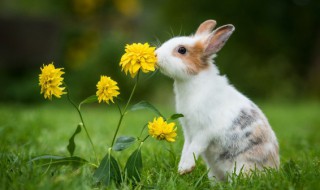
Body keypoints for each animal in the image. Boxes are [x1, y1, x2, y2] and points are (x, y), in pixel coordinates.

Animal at [156, 19, 280, 181]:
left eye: (182, 50)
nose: (156, 55)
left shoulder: (204, 131)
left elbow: (194, 148)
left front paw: (185, 169)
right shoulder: (188, 131)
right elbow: (186, 148)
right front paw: (181, 169)